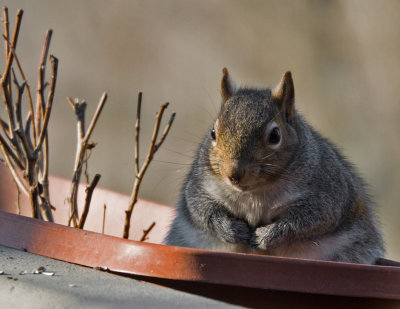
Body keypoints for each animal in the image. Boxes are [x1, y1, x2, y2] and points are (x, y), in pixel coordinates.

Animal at [165, 67, 384, 262]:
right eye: (213, 133)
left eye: (275, 135)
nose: (233, 174)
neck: (253, 193)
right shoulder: (201, 185)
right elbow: (201, 208)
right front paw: (231, 230)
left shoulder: (327, 192)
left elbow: (310, 219)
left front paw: (267, 236)